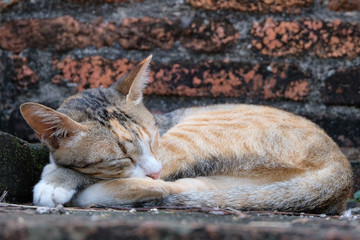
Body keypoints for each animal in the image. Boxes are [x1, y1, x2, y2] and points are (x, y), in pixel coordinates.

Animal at [19, 55, 352, 214]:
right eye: (120, 158)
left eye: (153, 139)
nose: (154, 168)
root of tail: (343, 171)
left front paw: (56, 179)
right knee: (166, 188)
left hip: (192, 135)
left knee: (156, 185)